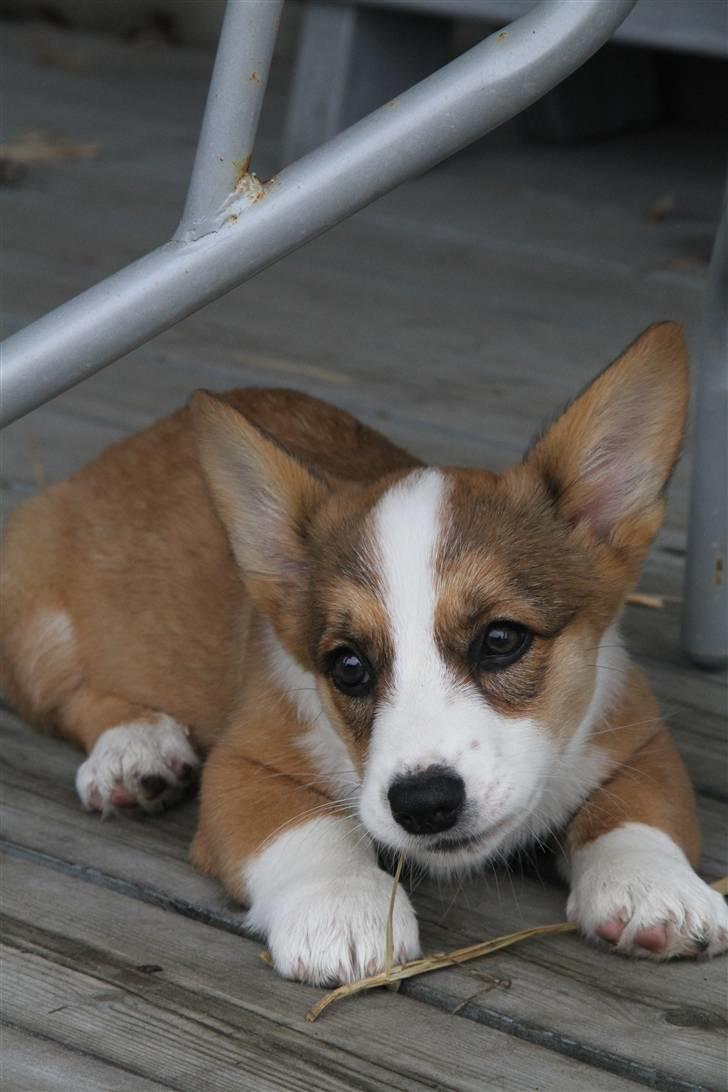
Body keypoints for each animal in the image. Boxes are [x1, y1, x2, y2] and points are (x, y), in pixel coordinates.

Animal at [2, 321, 724, 982]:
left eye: (501, 639)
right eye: (348, 666)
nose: (425, 804)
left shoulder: (640, 737)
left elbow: (635, 815)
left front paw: (653, 889)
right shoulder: (246, 765)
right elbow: (308, 829)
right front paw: (343, 908)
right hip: (34, 623)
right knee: (64, 697)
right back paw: (133, 750)